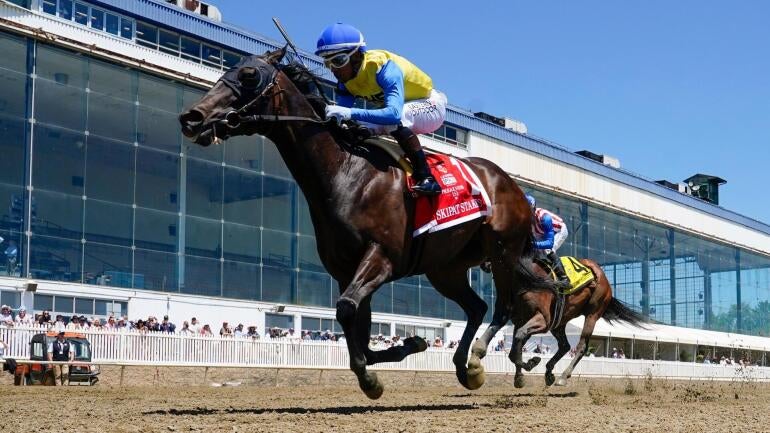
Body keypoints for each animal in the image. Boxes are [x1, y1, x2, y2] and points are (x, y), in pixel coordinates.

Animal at [178, 47, 563, 399]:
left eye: (248, 76)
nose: (191, 117)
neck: (346, 173)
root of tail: (511, 184)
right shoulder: (345, 270)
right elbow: (356, 325)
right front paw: (403, 350)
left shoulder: (381, 257)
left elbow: (347, 309)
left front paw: (374, 374)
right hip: (445, 268)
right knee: (477, 307)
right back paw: (463, 367)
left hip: (502, 252)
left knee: (502, 308)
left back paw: (479, 360)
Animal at [499, 257, 648, 388]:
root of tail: (603, 276)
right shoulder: (520, 321)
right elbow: (515, 348)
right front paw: (520, 377)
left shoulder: (543, 321)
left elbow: (519, 338)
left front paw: (532, 362)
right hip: (560, 320)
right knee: (565, 345)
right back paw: (549, 372)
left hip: (592, 314)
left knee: (581, 347)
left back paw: (563, 377)